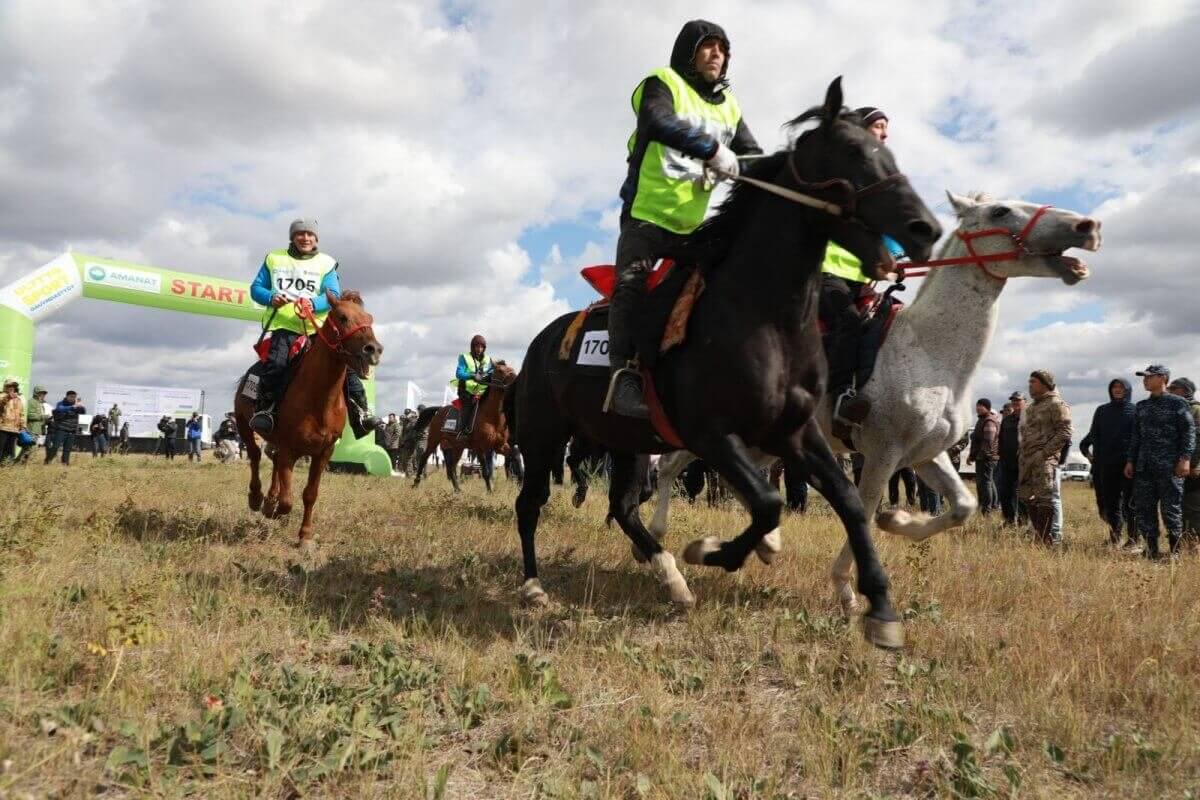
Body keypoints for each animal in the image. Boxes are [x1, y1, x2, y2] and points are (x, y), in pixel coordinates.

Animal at [231, 292, 381, 551]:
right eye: (342, 317)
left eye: (369, 318)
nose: (373, 349)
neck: (319, 397)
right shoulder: (290, 448)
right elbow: (288, 500)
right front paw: (274, 510)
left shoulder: (324, 452)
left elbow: (310, 494)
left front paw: (305, 536)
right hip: (244, 424)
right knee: (255, 456)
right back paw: (257, 498)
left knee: (271, 460)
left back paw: (269, 499)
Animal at [506, 77, 936, 647]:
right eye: (852, 151)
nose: (924, 227)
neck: (762, 317)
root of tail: (539, 343)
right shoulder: (710, 434)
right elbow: (768, 502)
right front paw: (712, 551)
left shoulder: (794, 432)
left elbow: (845, 499)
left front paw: (881, 607)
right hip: (543, 438)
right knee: (530, 503)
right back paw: (535, 586)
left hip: (626, 442)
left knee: (622, 507)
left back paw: (672, 580)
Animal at [652, 190, 1099, 618]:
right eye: (1000, 212)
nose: (1087, 226)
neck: (929, 353)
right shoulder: (884, 452)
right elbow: (863, 511)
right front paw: (846, 589)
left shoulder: (925, 455)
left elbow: (963, 506)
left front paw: (898, 520)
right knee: (672, 466)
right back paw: (661, 542)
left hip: (762, 443)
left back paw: (759, 544)